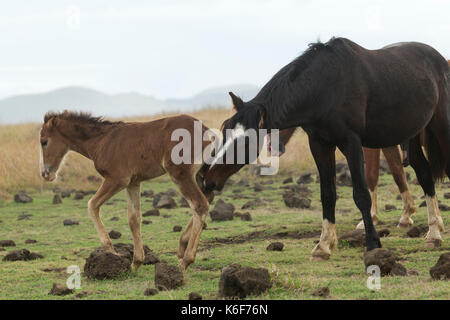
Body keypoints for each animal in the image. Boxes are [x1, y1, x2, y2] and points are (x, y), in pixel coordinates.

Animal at [39, 111, 214, 272]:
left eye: (44, 142)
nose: (45, 174)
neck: (101, 141)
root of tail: (207, 131)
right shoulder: (133, 182)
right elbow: (133, 219)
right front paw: (136, 262)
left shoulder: (117, 179)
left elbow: (92, 205)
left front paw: (112, 253)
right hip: (198, 175)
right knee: (206, 199)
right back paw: (182, 248)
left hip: (180, 174)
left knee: (199, 205)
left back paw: (186, 260)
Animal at [205, 38, 450, 262]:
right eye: (225, 131)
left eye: (245, 141)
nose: (209, 180)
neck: (324, 87)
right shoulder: (320, 144)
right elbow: (327, 194)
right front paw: (323, 246)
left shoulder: (351, 142)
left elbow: (361, 194)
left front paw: (372, 244)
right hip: (413, 135)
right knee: (425, 174)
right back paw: (433, 233)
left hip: (440, 127)